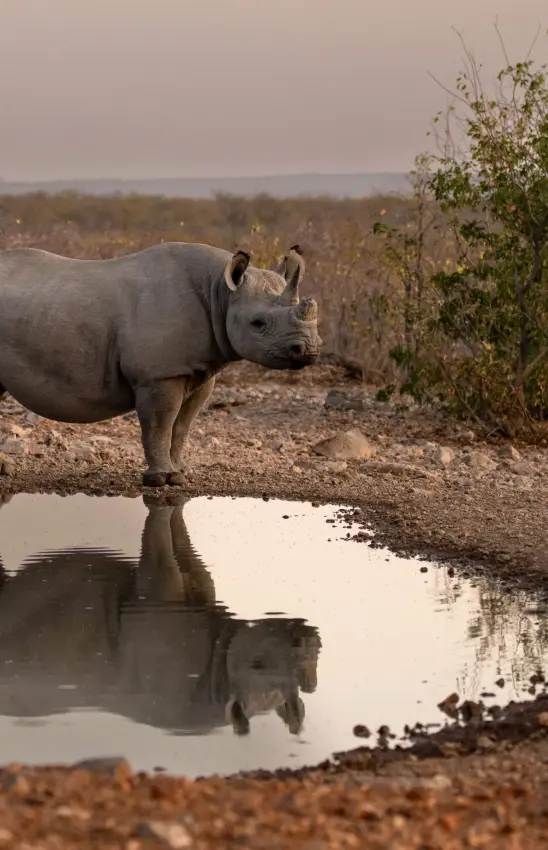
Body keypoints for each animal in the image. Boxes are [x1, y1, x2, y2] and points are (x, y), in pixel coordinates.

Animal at [0, 242, 321, 486]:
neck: (220, 292)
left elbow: (182, 426)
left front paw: (179, 474)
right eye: (258, 323)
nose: (309, 350)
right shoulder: (158, 375)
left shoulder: (199, 370)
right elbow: (160, 424)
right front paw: (160, 479)